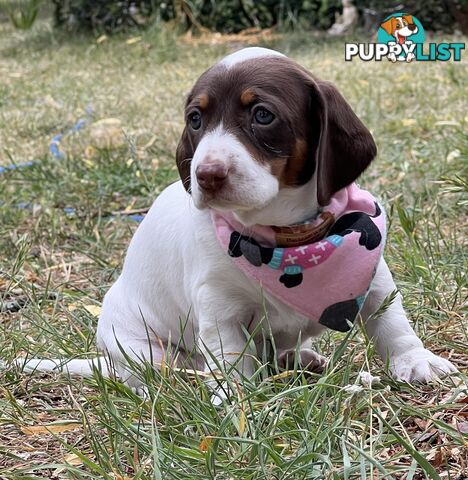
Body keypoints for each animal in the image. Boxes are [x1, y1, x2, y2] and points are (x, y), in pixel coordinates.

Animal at [19, 47, 458, 394]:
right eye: (195, 119)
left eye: (262, 115)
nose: (205, 175)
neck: (288, 236)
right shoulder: (218, 307)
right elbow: (230, 358)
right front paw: (237, 398)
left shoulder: (373, 276)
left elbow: (392, 323)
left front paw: (415, 360)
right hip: (140, 347)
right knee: (159, 371)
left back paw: (299, 358)